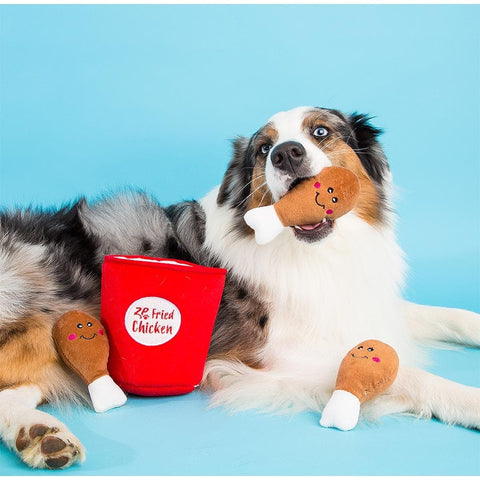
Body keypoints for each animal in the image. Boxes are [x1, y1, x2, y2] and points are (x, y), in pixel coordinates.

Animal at [0, 106, 478, 468]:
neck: (318, 252)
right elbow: (407, 374)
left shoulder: (359, 305)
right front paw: (469, 400)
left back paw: (39, 437)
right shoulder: (278, 358)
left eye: (320, 132)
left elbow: (448, 316)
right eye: (264, 148)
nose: (286, 153)